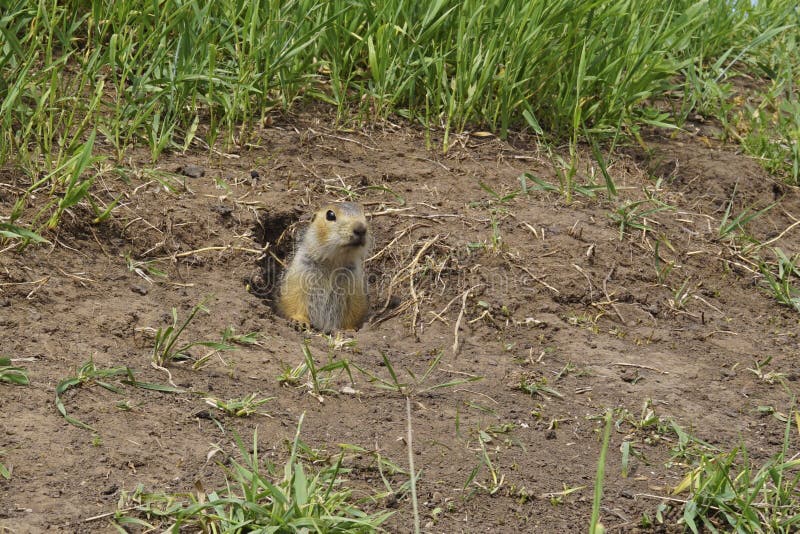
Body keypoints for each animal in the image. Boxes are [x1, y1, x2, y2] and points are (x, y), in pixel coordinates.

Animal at [278, 203, 372, 332]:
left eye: (364, 214)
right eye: (330, 215)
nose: (361, 228)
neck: (333, 261)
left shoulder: (356, 281)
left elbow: (355, 308)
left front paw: (349, 329)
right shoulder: (298, 271)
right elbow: (292, 298)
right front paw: (299, 321)